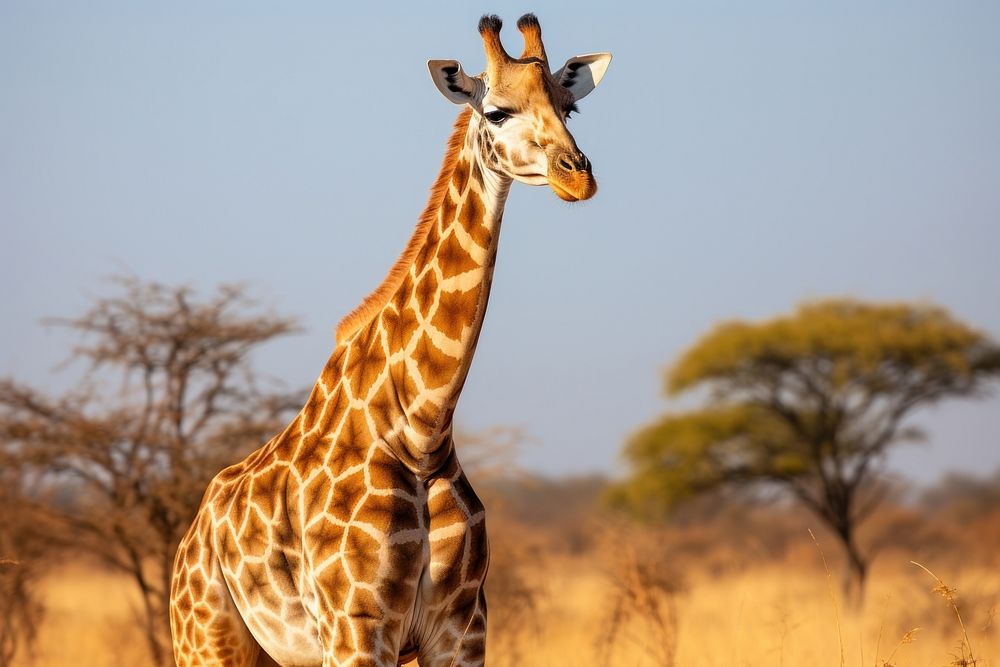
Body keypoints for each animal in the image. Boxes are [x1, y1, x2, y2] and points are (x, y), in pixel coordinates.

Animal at [169, 15, 608, 667]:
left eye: (569, 107)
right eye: (496, 111)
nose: (576, 175)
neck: (420, 432)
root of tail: (191, 538)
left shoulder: (463, 627)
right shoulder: (357, 625)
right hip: (207, 640)